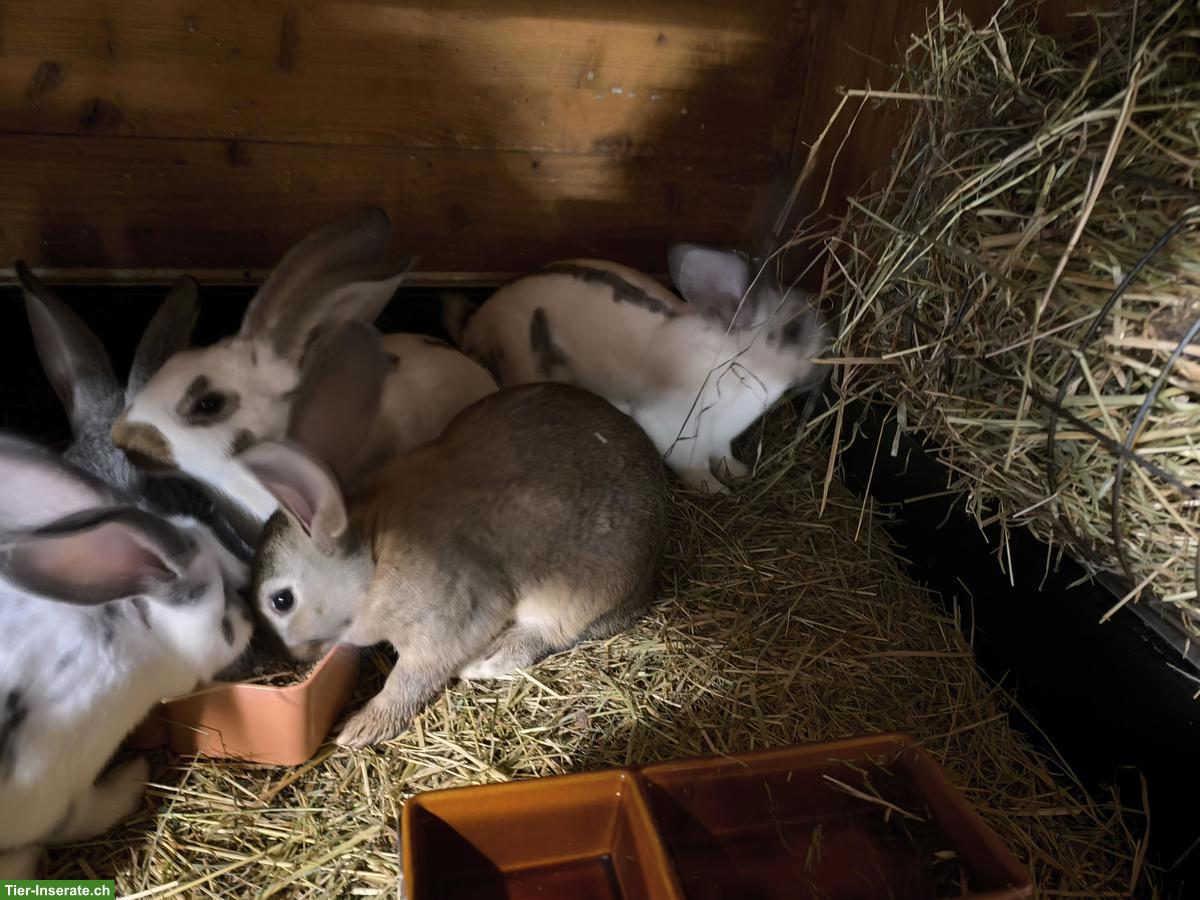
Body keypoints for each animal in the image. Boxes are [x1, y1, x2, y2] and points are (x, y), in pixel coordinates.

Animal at [0, 434, 254, 880]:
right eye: (231, 597)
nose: (254, 614)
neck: (137, 625)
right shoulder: (52, 787)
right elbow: (80, 817)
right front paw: (132, 780)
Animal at [236, 321, 668, 748]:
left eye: (281, 600)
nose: (292, 657)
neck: (374, 557)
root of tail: (650, 573)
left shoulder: (445, 623)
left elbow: (411, 678)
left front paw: (361, 729)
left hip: (572, 597)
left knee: (554, 634)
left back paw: (488, 661)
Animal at [445, 244, 829, 493]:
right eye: (794, 331)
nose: (828, 347)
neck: (736, 364)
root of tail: (477, 323)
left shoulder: (722, 439)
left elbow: (724, 457)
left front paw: (740, 474)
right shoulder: (675, 431)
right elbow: (695, 469)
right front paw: (717, 491)